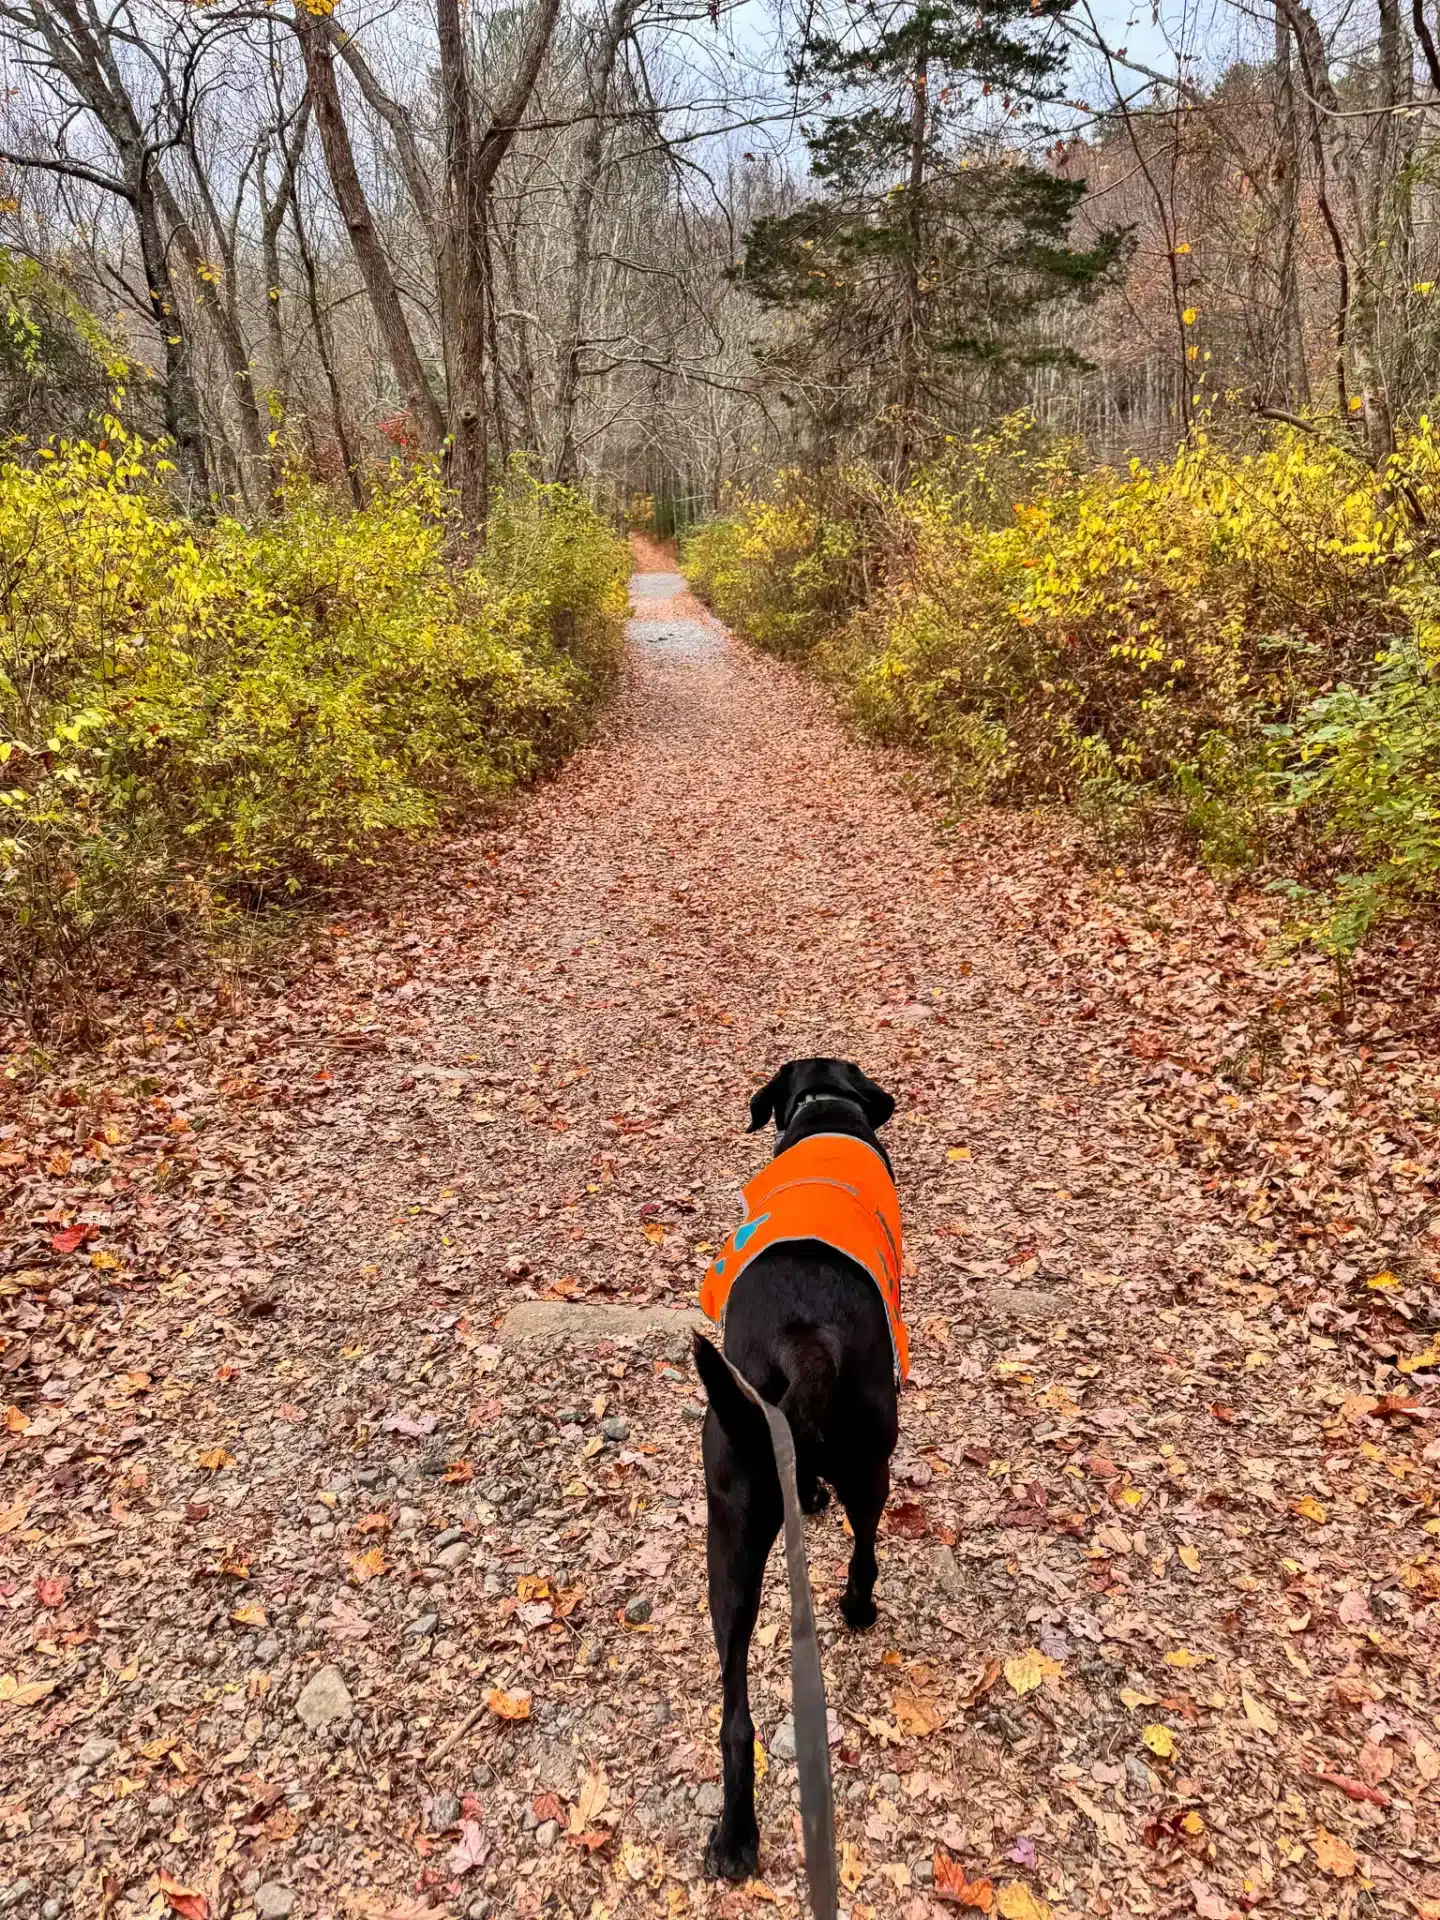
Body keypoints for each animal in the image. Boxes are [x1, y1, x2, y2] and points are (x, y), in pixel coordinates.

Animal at [691, 1059, 902, 1881]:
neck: (827, 1112)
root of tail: (805, 1340)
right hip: (872, 1462)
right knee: (865, 1549)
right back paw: (858, 1607)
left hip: (731, 1532)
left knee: (735, 1716)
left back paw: (736, 1837)